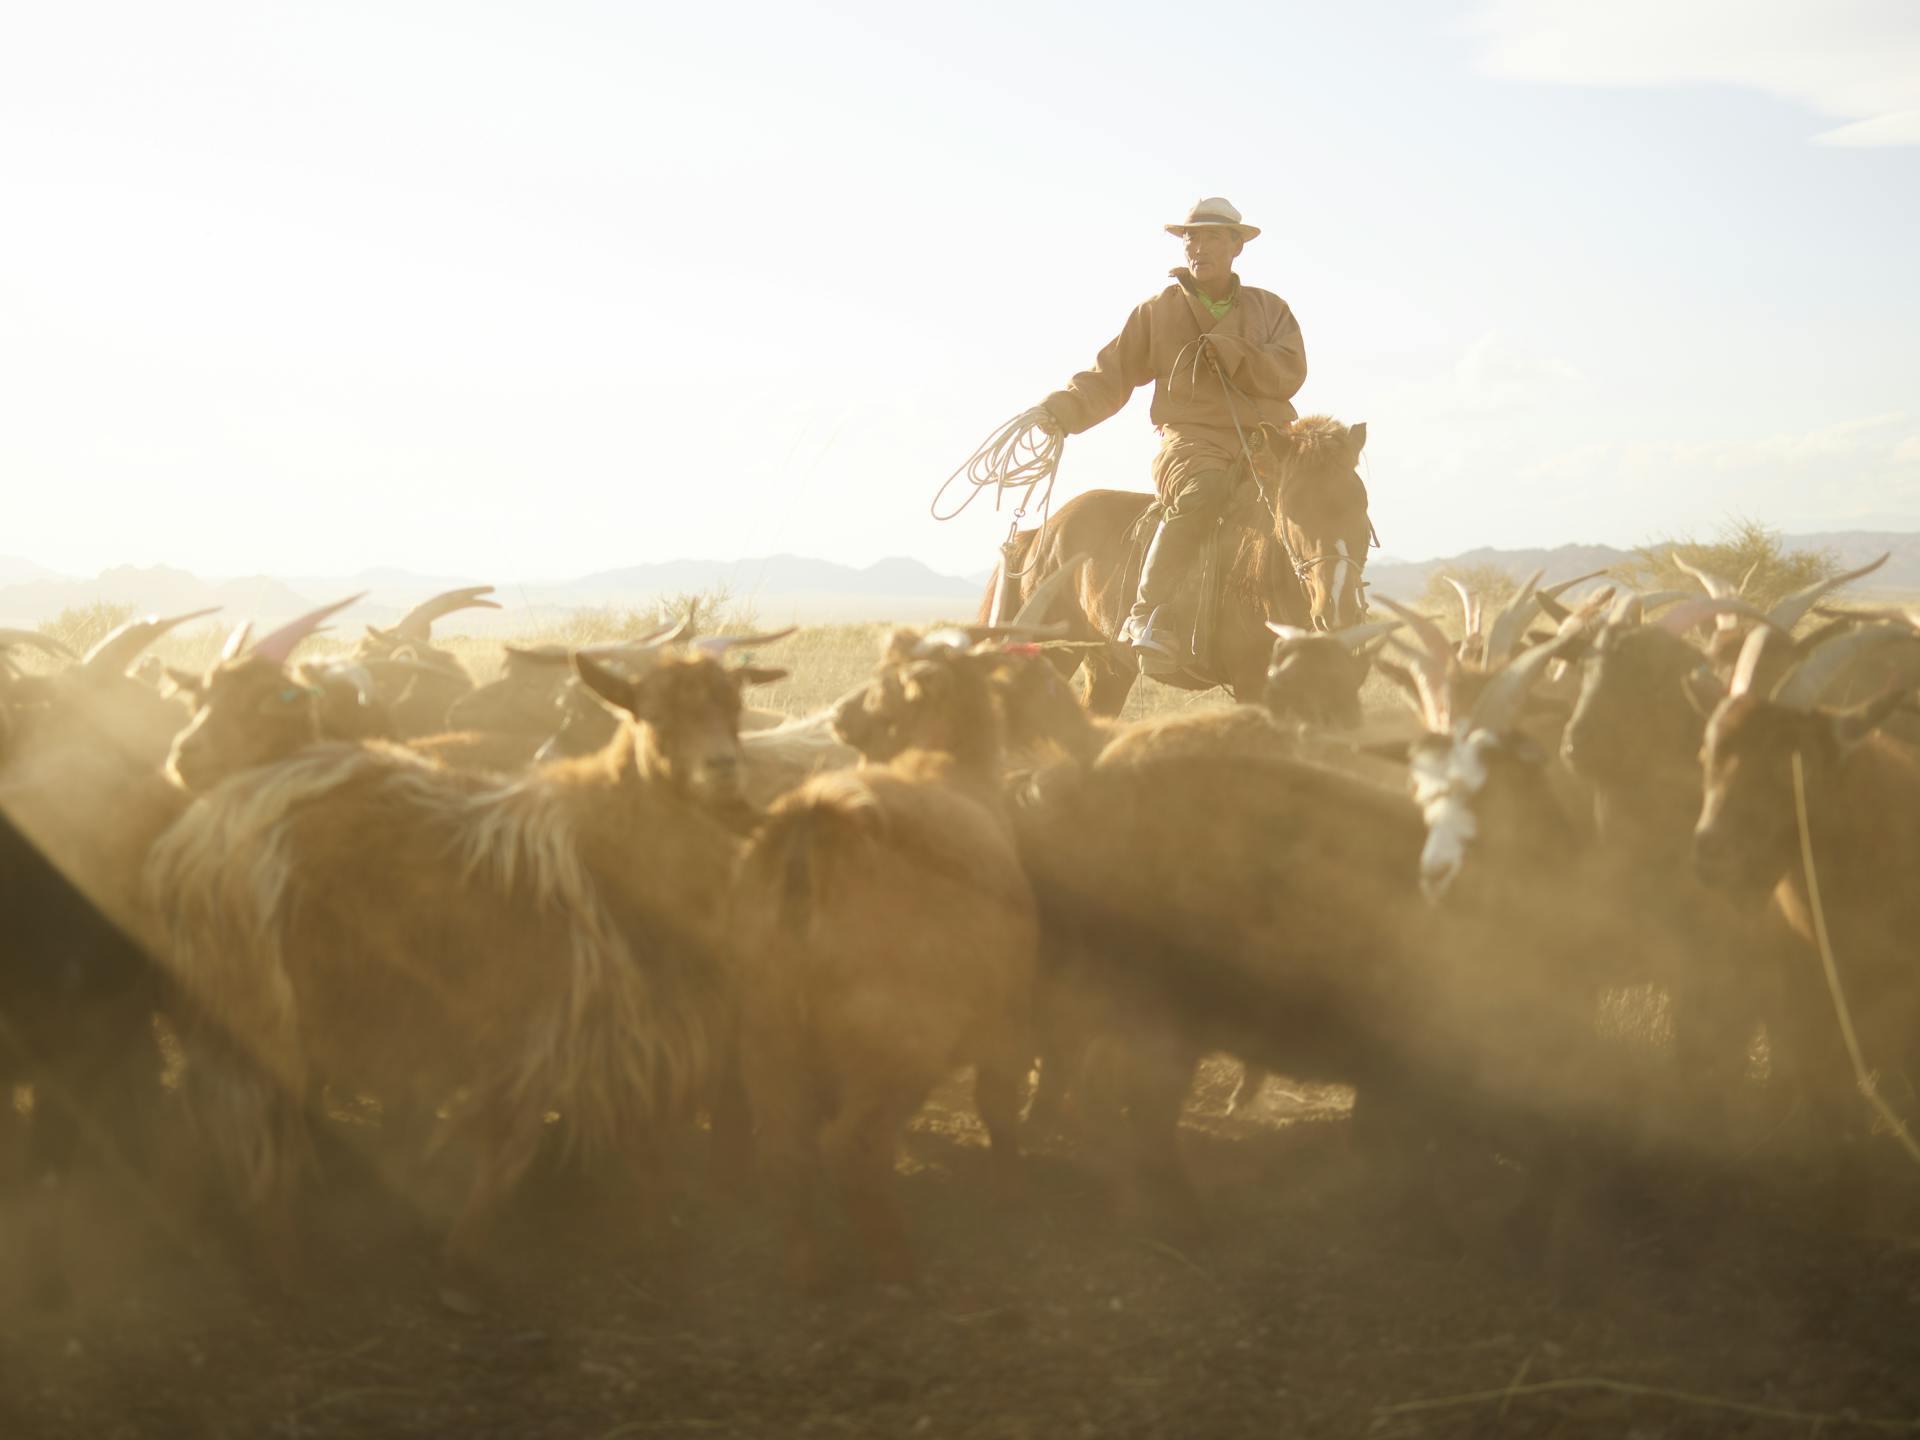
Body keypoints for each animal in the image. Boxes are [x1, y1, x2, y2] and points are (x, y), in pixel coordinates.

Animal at [983, 410, 1374, 718]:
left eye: (1361, 501)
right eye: (1291, 506)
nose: (1336, 610)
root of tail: (1041, 533)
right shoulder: (1254, 687)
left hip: (1109, 669)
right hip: (1053, 655)